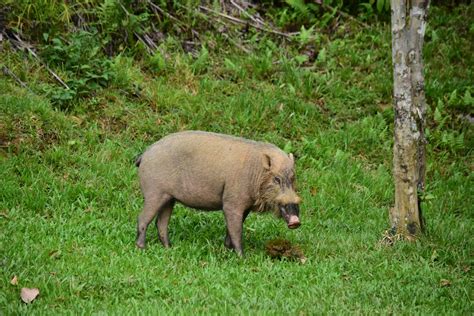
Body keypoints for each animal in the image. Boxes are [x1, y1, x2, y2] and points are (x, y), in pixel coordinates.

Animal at [135, 131, 302, 256]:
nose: (296, 222)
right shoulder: (231, 203)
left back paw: (169, 247)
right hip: (154, 193)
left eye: (293, 178)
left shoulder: (245, 206)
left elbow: (233, 227)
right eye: (276, 179)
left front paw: (228, 249)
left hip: (169, 198)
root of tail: (144, 154)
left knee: (160, 223)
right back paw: (142, 248)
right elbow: (236, 229)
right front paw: (242, 257)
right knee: (142, 218)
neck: (256, 171)